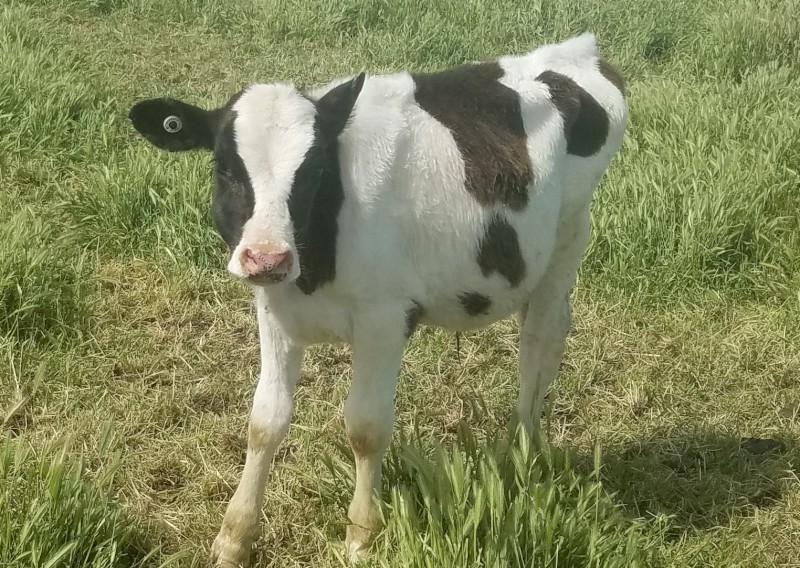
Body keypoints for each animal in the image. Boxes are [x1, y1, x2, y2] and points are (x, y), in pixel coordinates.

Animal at [128, 32, 627, 567]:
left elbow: (365, 428)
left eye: (315, 169)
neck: (316, 261)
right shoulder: (274, 311)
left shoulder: (385, 320)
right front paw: (234, 537)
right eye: (224, 166)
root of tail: (577, 50)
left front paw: (362, 534)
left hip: (569, 235)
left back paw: (521, 452)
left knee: (542, 340)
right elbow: (264, 421)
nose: (267, 257)